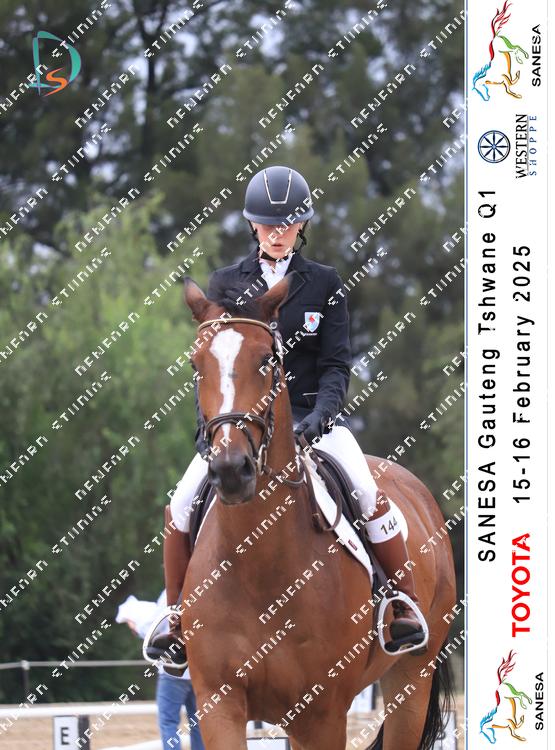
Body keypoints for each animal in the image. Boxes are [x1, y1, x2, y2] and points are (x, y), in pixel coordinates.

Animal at [179, 275, 457, 749]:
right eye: (197, 366)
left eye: (266, 360)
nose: (231, 470)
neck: (258, 566)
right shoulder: (220, 706)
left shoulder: (322, 715)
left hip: (411, 679)